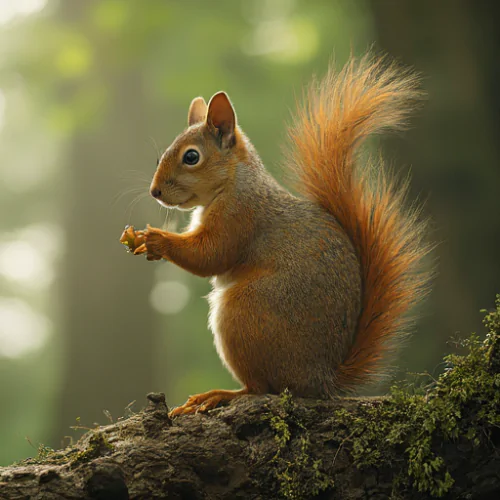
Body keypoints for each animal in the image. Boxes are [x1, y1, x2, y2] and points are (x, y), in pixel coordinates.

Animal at [121, 53, 430, 418]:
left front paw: (155, 239)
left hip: (244, 313)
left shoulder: (240, 217)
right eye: (162, 155)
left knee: (260, 387)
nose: (154, 192)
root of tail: (319, 378)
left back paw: (221, 395)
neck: (233, 183)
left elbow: (211, 255)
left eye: (191, 157)